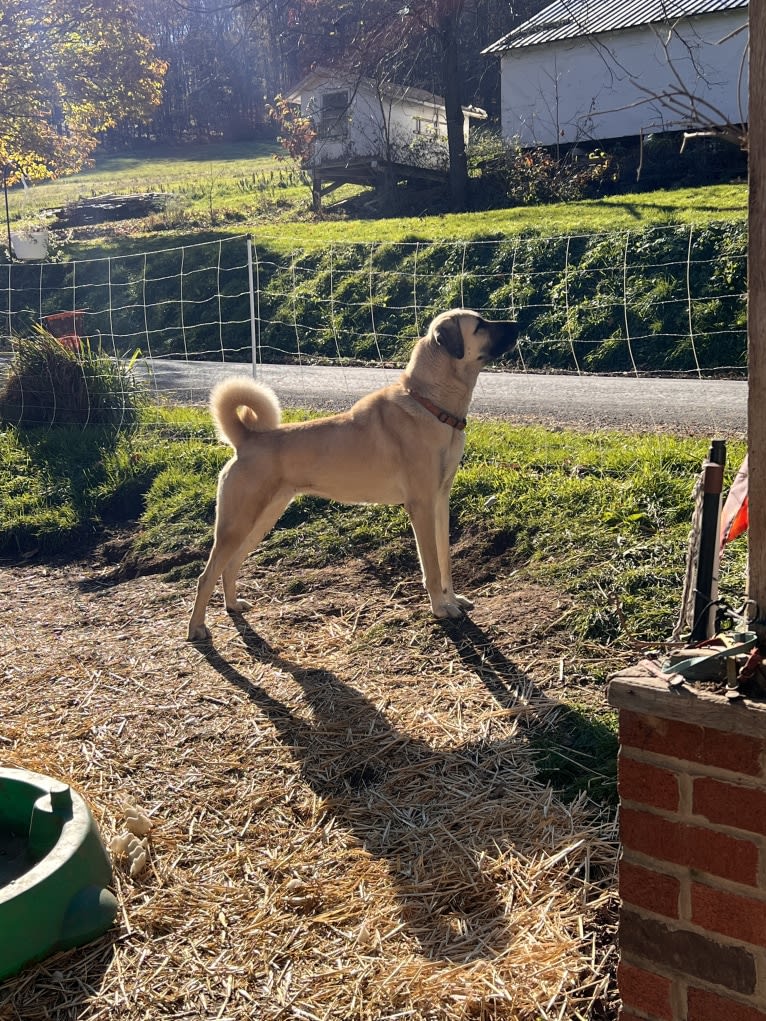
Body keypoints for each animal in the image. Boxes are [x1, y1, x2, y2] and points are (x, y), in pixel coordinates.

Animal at [187, 306, 518, 637]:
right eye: (479, 326)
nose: (517, 323)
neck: (431, 404)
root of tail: (247, 439)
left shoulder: (440, 502)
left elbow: (445, 559)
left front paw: (452, 599)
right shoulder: (421, 506)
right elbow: (432, 568)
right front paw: (440, 607)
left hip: (262, 520)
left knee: (229, 566)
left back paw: (233, 605)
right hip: (236, 525)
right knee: (207, 575)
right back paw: (197, 628)